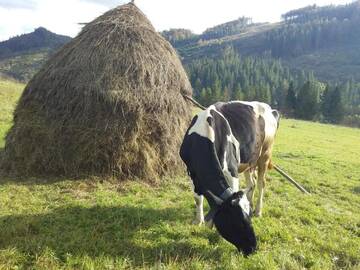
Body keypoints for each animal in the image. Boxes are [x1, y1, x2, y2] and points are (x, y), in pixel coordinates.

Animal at [179, 100, 280, 255]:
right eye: (239, 222)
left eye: (249, 219)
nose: (253, 248)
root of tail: (270, 109)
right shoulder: (191, 171)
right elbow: (197, 198)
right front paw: (198, 221)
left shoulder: (232, 170)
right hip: (249, 161)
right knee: (252, 183)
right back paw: (251, 202)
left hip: (265, 155)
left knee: (261, 183)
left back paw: (258, 210)